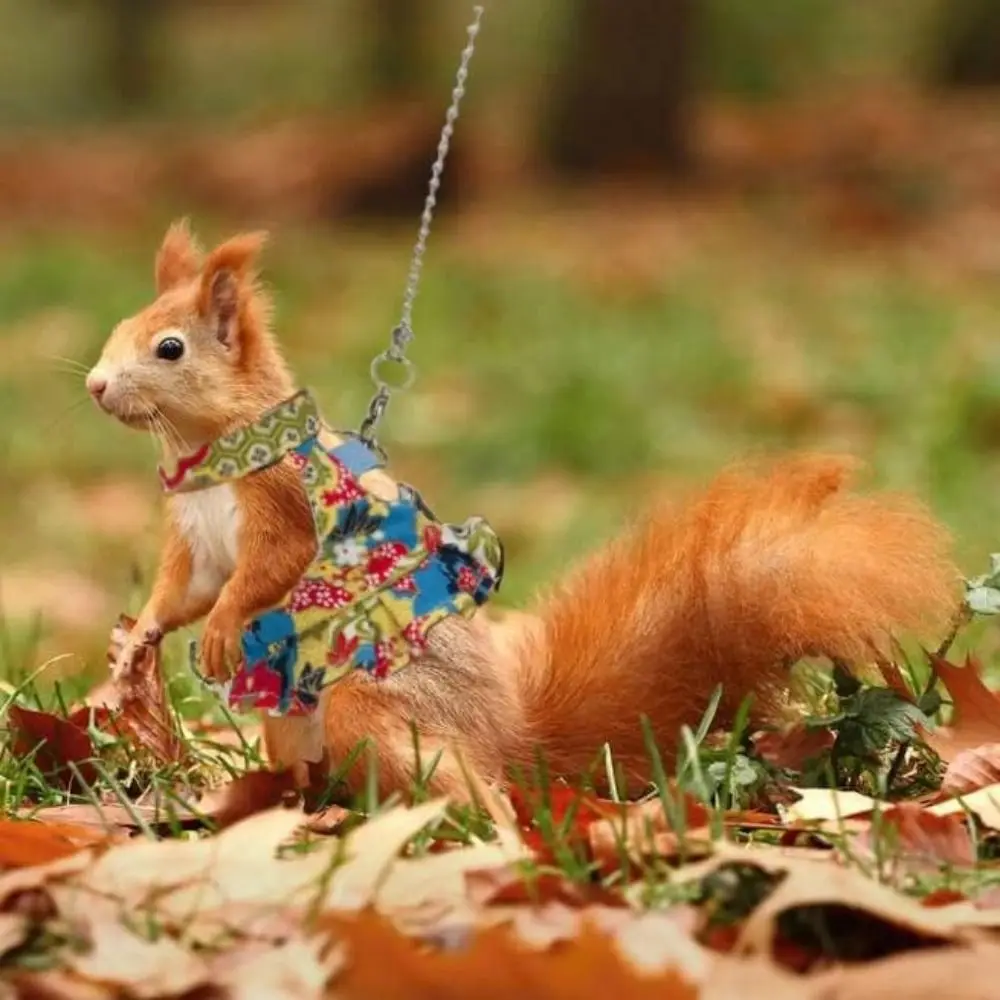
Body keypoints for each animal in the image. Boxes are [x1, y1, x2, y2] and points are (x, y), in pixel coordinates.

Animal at [85, 219, 960, 802]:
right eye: (117, 328)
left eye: (169, 349)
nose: (94, 385)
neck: (214, 458)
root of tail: (512, 740)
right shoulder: (196, 542)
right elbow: (182, 590)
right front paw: (141, 645)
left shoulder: (284, 513)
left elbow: (261, 576)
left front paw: (224, 630)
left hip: (370, 707)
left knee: (472, 792)